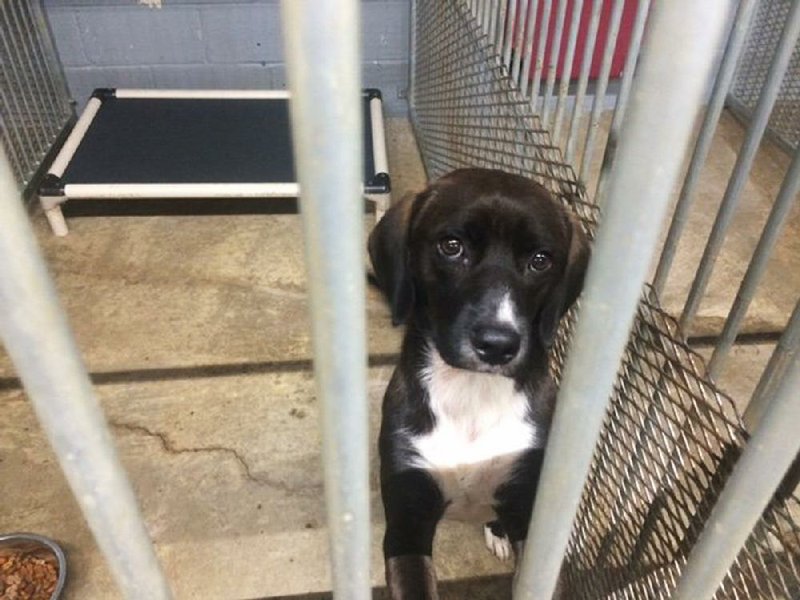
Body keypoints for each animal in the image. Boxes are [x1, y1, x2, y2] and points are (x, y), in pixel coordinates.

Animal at [368, 166, 588, 596]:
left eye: (541, 260)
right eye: (451, 246)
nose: (497, 345)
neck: (472, 393)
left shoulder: (533, 517)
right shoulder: (407, 525)